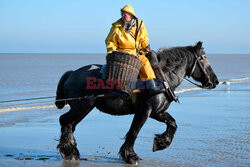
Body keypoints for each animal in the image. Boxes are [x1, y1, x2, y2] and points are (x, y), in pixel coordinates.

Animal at [55, 41, 219, 164]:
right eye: (203, 57)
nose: (215, 81)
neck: (162, 77)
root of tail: (72, 73)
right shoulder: (144, 112)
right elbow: (134, 132)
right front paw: (130, 156)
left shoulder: (157, 112)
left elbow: (172, 124)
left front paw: (161, 143)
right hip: (82, 107)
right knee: (66, 121)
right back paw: (69, 150)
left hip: (83, 109)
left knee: (69, 125)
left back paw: (71, 150)